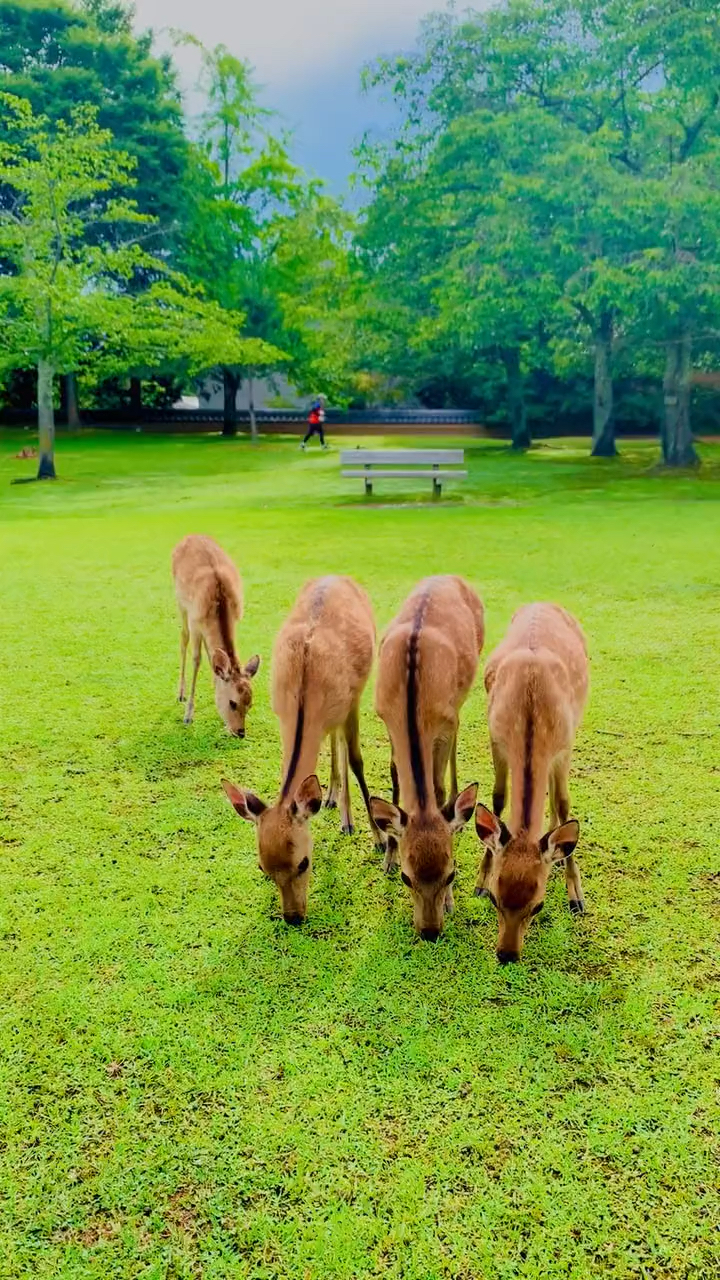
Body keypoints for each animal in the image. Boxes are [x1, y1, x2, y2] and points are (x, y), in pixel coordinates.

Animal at [169, 537, 258, 742]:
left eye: (250, 704)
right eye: (232, 703)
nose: (240, 732)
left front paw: (215, 684)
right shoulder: (195, 621)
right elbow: (196, 660)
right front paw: (188, 716)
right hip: (180, 601)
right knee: (183, 639)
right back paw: (180, 694)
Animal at [221, 576, 381, 926]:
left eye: (304, 862)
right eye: (262, 868)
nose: (293, 917)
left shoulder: (351, 703)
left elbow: (357, 761)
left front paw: (379, 839)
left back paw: (346, 817)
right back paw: (332, 797)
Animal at [366, 578, 484, 942]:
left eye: (452, 873)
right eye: (407, 877)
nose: (430, 931)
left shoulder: (445, 724)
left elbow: (439, 786)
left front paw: (450, 902)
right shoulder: (386, 722)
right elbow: (394, 781)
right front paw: (388, 855)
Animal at [474, 604, 586, 962]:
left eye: (537, 907)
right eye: (494, 898)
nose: (507, 954)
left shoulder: (564, 746)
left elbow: (564, 805)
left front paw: (576, 896)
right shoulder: (495, 738)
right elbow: (497, 798)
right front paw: (480, 878)